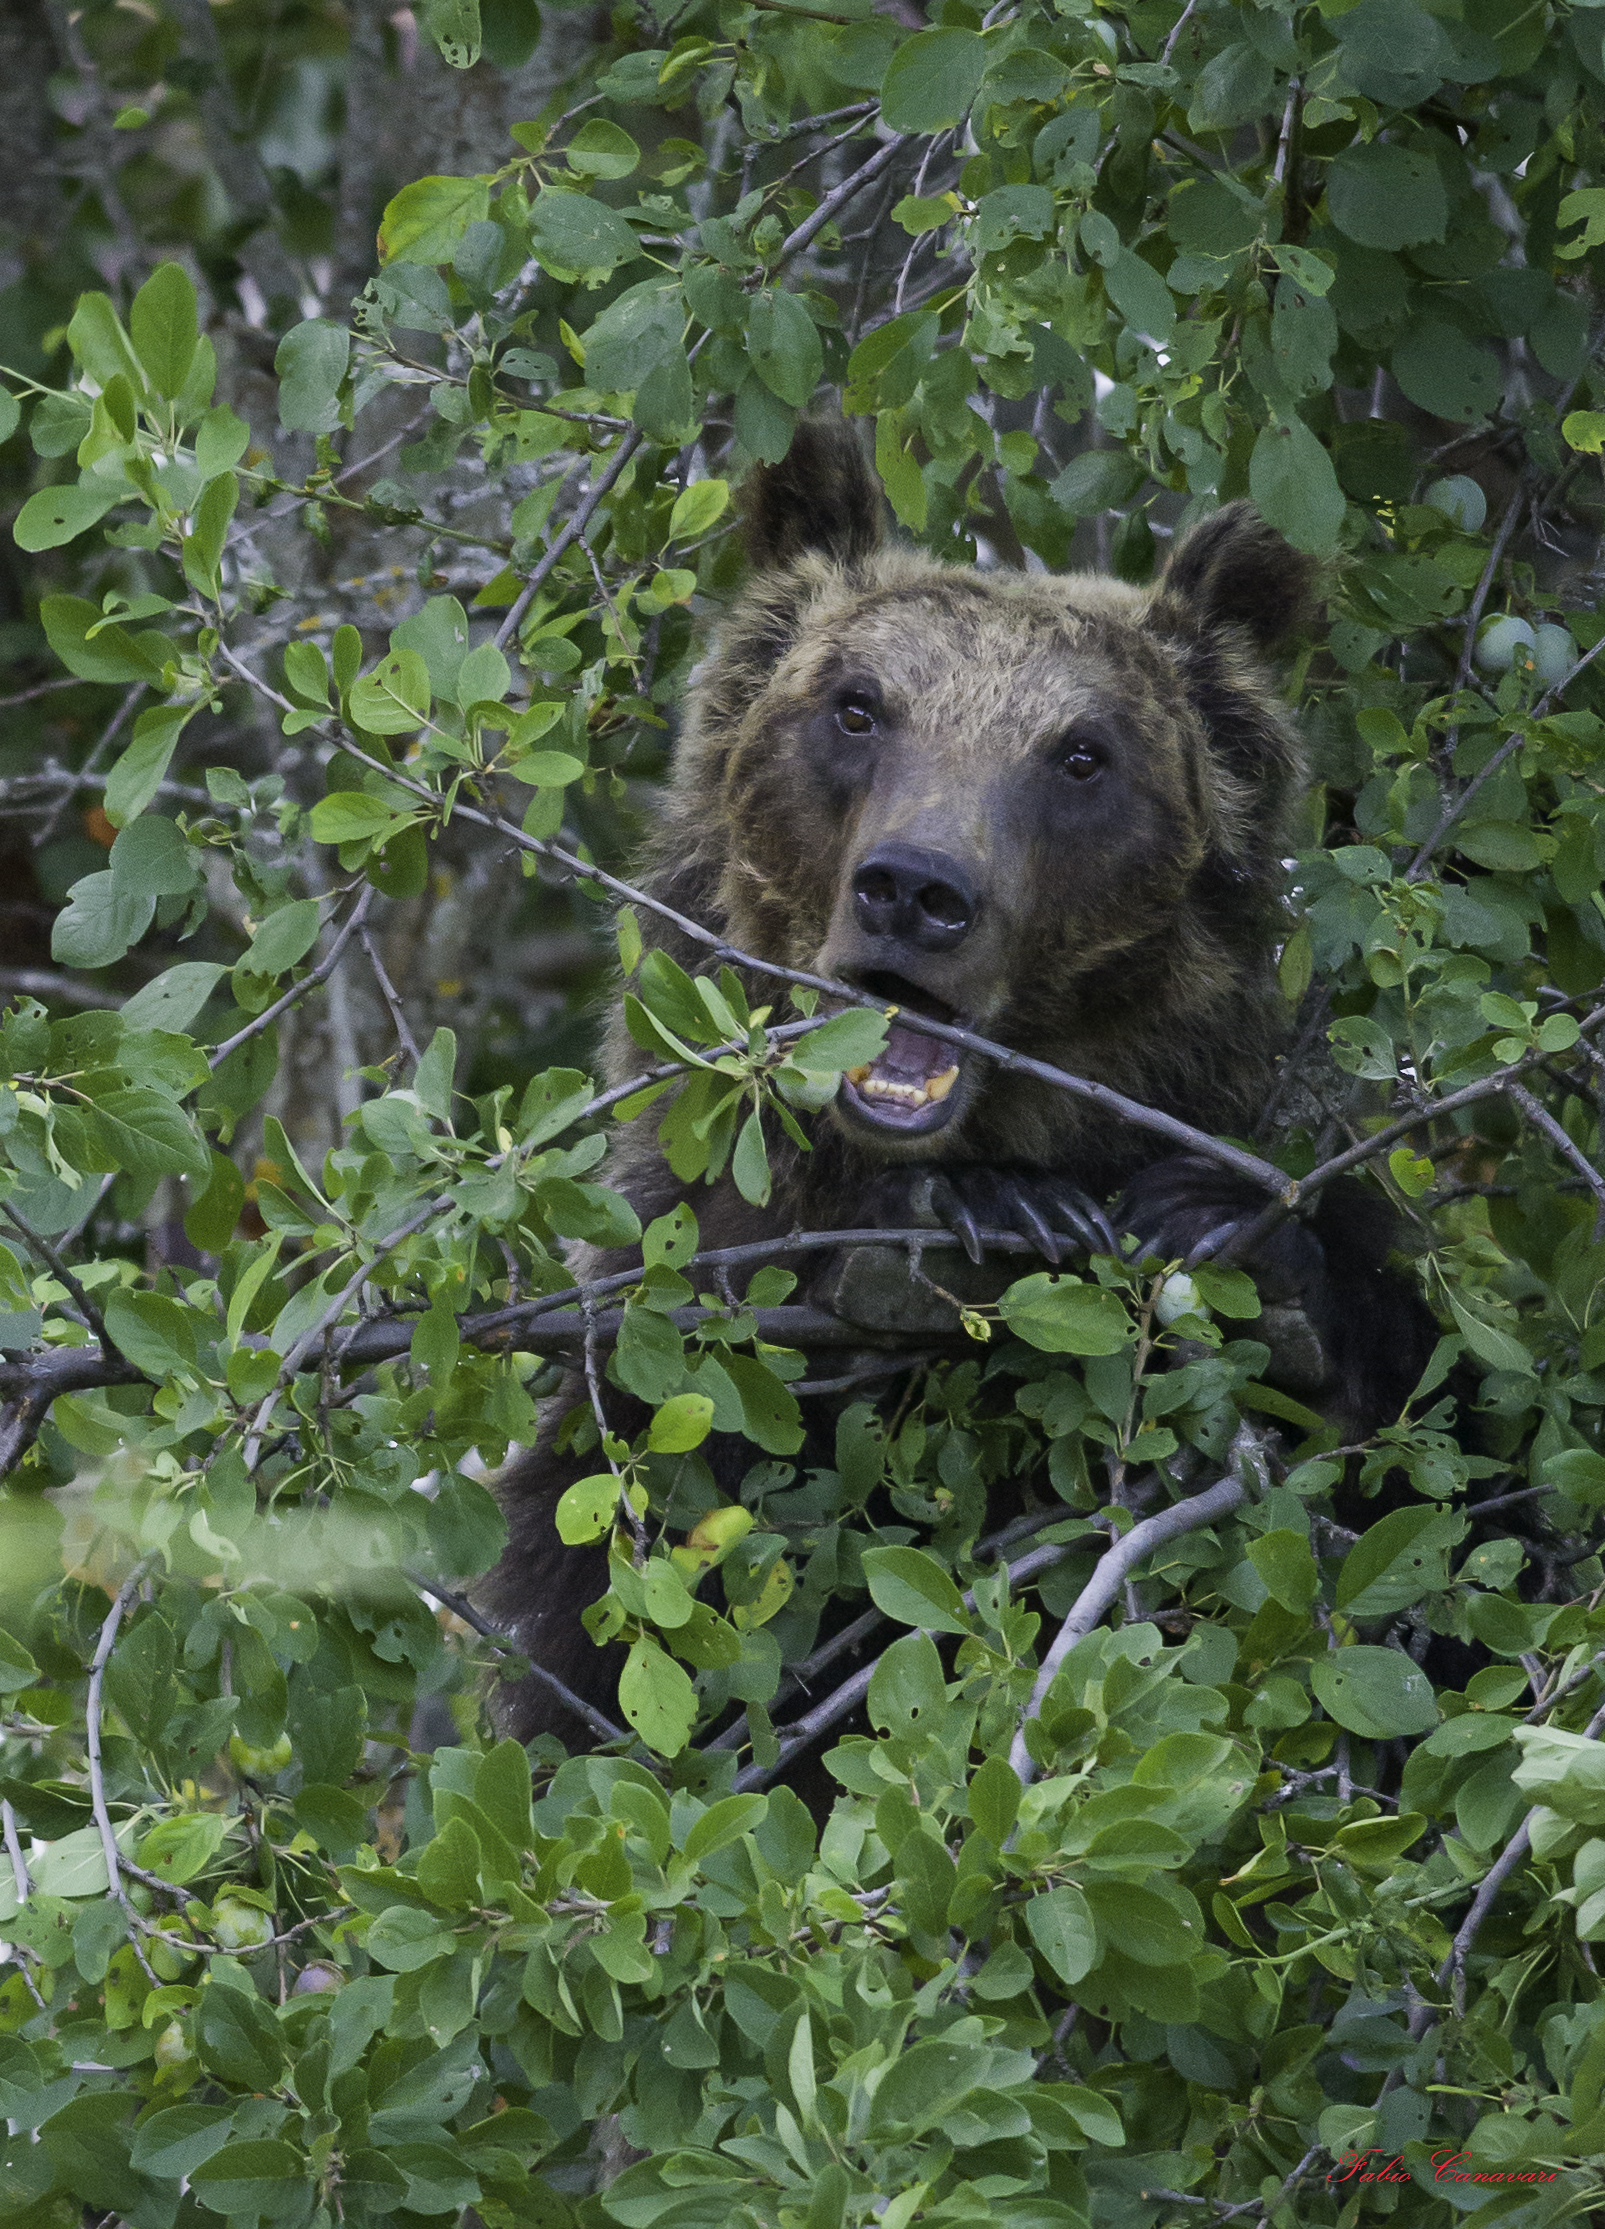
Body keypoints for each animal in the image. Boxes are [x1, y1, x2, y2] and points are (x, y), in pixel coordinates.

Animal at [481, 420, 1439, 1747]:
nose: (916, 890)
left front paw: (1203, 1221)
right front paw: (1003, 1206)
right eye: (857, 706)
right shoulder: (656, 1360)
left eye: (1082, 754)